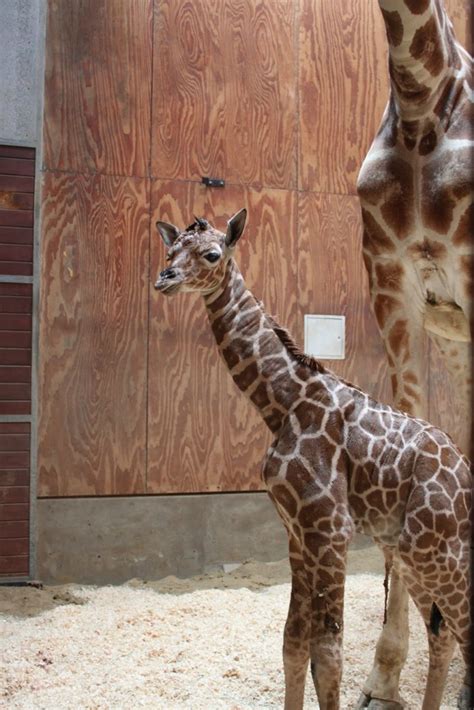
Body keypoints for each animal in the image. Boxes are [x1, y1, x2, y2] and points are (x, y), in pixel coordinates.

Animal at [155, 211, 470, 710]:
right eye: (170, 251)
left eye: (211, 254)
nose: (164, 279)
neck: (280, 404)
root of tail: (465, 472)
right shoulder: (297, 534)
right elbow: (293, 642)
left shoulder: (330, 530)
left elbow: (328, 653)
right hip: (413, 553)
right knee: (442, 636)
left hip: (439, 552)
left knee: (462, 631)